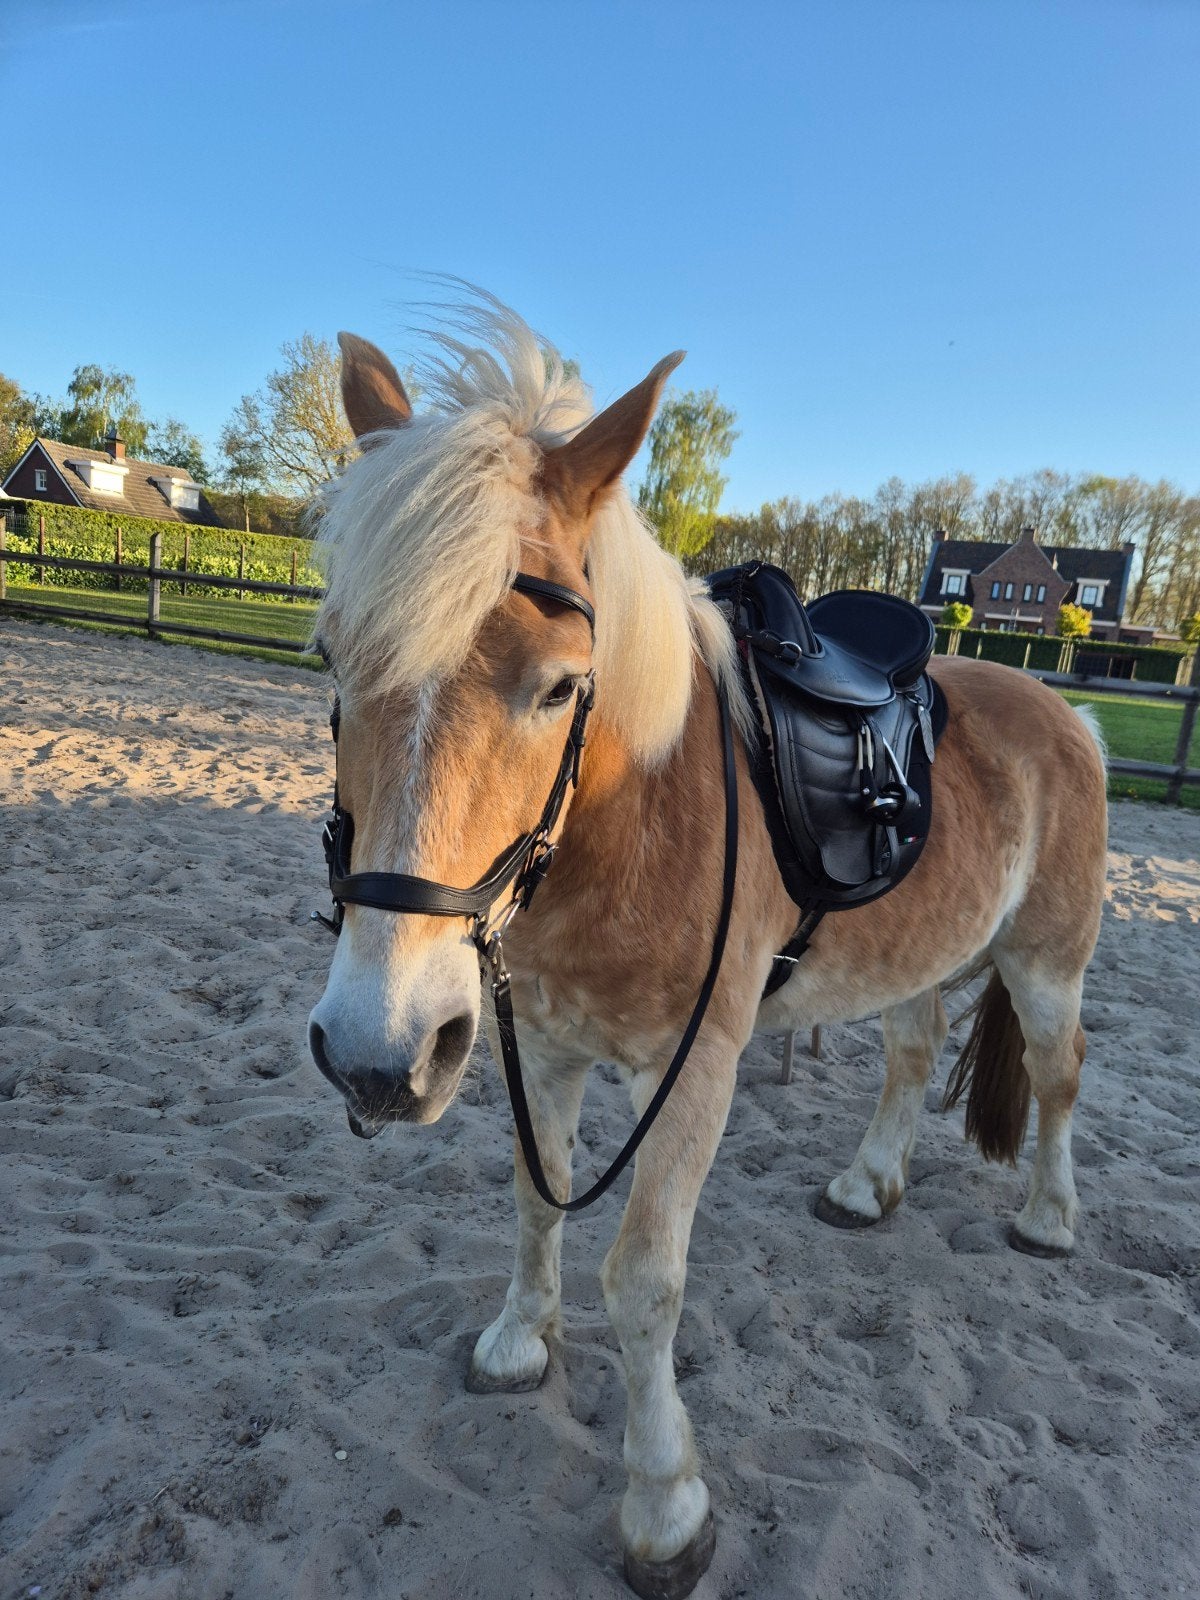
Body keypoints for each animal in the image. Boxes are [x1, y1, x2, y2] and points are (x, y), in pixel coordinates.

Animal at [305, 300, 1108, 1600]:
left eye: (560, 687)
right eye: (333, 658)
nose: (378, 1053)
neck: (633, 817)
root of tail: (1070, 712)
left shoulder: (696, 1072)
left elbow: (644, 1280)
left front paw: (664, 1505)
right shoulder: (544, 1043)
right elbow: (535, 1194)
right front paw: (521, 1338)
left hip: (1045, 961)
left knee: (1058, 1070)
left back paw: (1047, 1215)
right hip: (919, 952)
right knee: (911, 1049)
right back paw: (867, 1185)